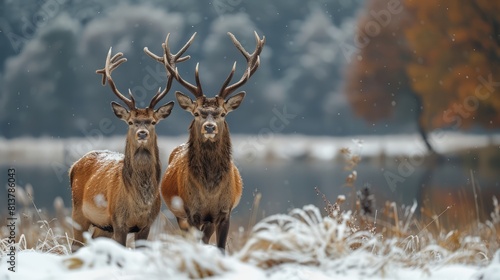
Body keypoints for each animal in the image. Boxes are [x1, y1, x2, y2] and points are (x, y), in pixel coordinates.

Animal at [70, 40, 193, 249]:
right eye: (130, 122)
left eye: (153, 121)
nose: (142, 133)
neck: (139, 202)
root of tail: (73, 166)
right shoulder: (119, 221)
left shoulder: (146, 225)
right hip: (78, 214)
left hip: (102, 227)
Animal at [145, 31, 266, 252]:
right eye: (196, 113)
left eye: (223, 113)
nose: (209, 127)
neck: (210, 192)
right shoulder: (192, 212)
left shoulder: (225, 212)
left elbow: (221, 247)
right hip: (179, 215)